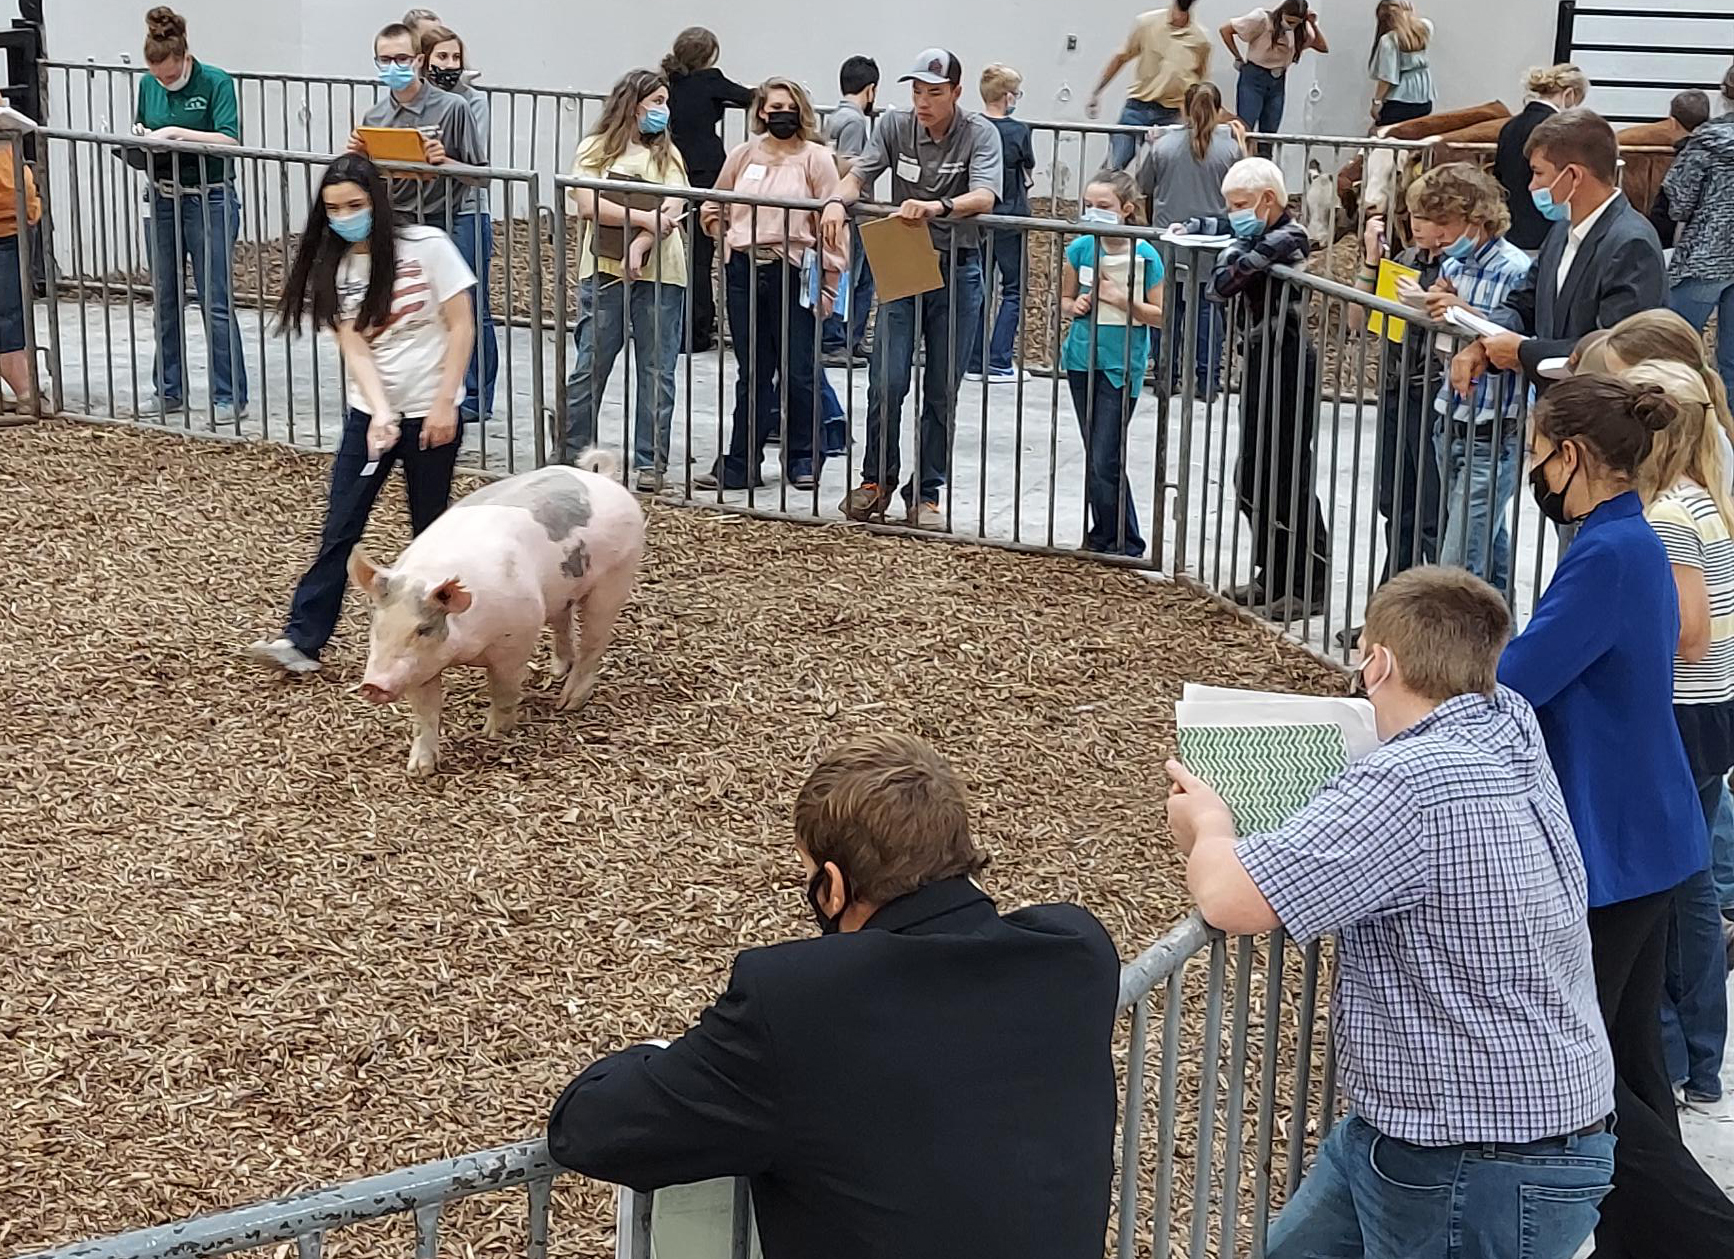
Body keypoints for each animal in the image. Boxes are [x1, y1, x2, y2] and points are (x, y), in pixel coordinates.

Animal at [345, 447, 645, 773]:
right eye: (377, 624)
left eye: (423, 629)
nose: (372, 684)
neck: (466, 648)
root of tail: (603, 479)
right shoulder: (419, 669)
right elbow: (425, 712)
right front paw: (419, 770)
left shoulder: (516, 639)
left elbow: (504, 689)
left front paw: (492, 733)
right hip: (560, 592)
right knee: (563, 621)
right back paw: (555, 672)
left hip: (616, 576)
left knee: (594, 641)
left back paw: (567, 703)